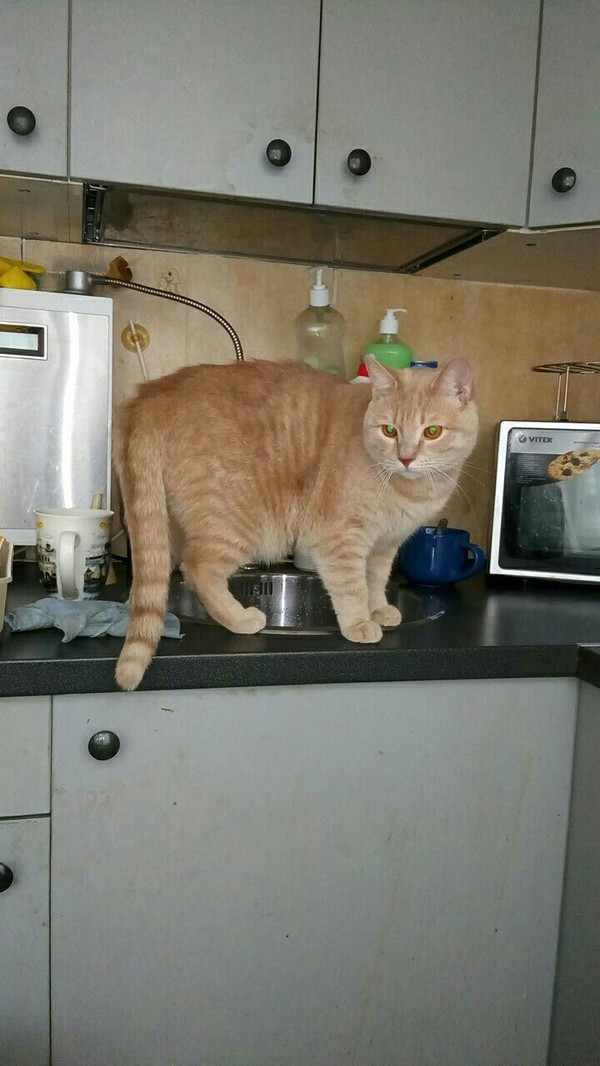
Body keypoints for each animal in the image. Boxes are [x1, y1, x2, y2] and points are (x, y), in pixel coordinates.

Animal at [114, 356, 479, 690]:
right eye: (390, 430)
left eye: (432, 432)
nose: (406, 458)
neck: (409, 489)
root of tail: (151, 396)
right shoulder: (340, 538)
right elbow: (352, 586)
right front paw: (359, 622)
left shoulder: (383, 545)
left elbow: (375, 582)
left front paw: (379, 610)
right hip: (235, 525)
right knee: (197, 570)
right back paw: (240, 618)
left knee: (153, 571)